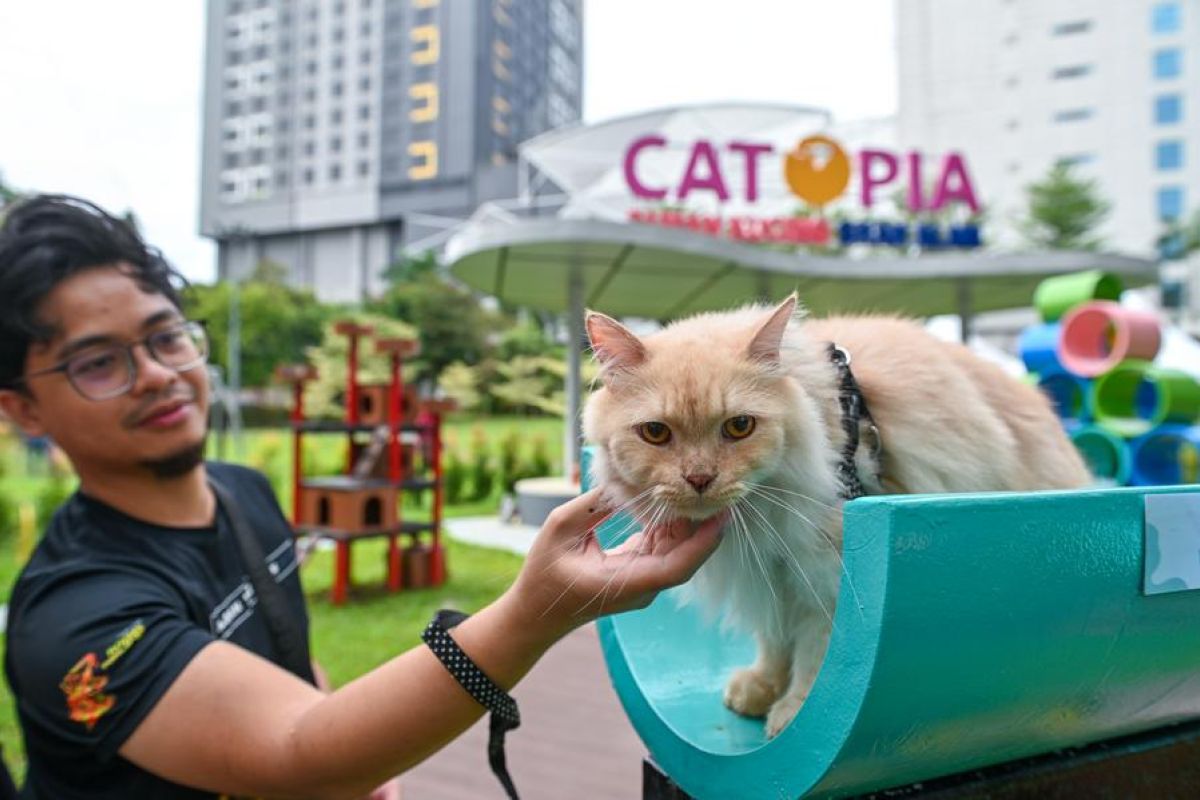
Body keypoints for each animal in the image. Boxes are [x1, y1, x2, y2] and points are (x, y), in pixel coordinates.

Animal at [585, 293, 1094, 738]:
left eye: (739, 426)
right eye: (656, 433)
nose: (699, 478)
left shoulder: (824, 580)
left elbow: (815, 658)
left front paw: (793, 713)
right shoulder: (772, 576)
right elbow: (774, 641)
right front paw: (761, 687)